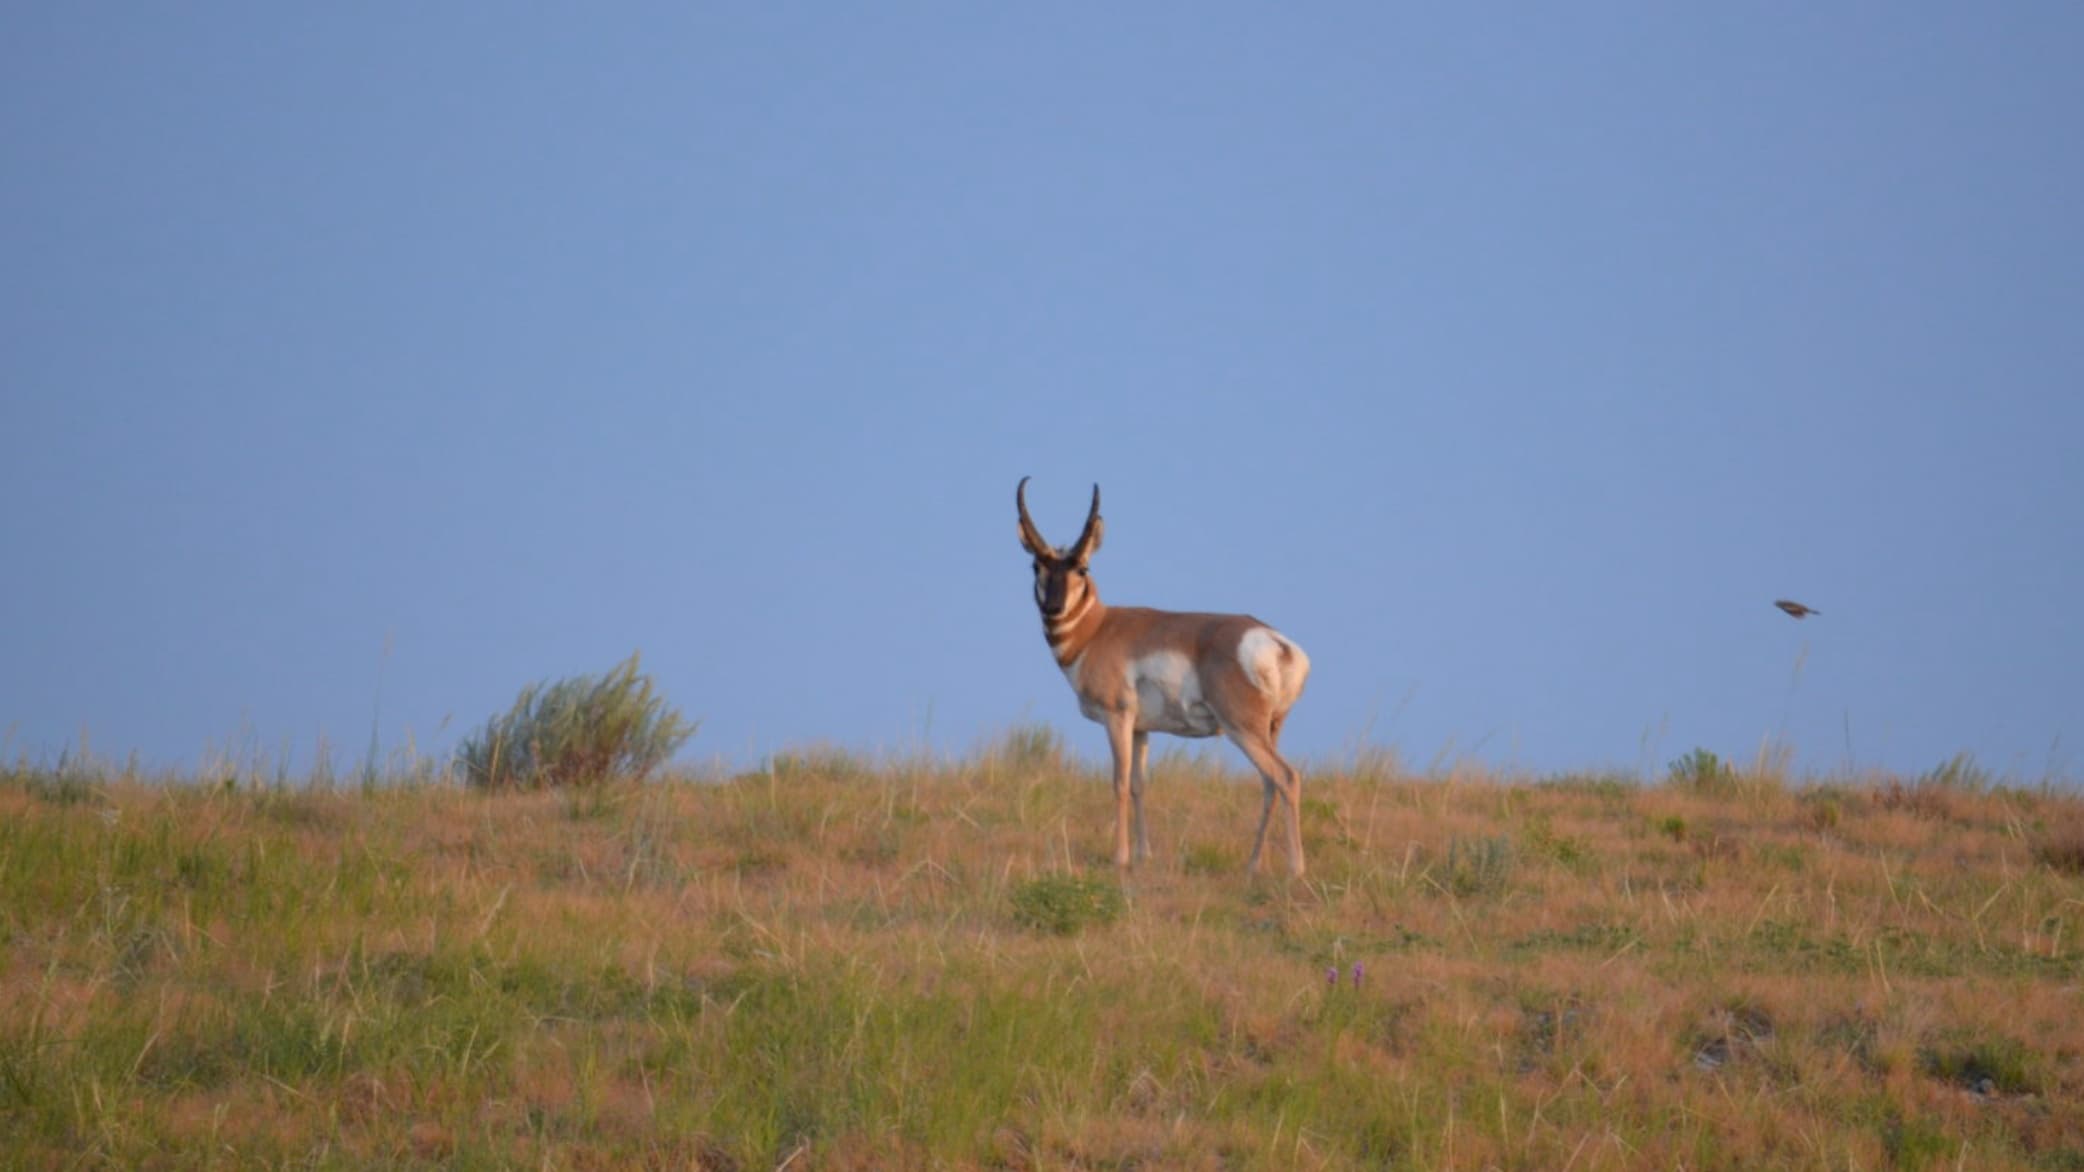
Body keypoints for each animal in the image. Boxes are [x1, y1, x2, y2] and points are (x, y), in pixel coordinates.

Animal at [1016, 478, 1313, 876]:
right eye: (1037, 565)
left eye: (1082, 568)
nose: (1053, 607)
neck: (1098, 629)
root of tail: (1276, 643)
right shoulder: (1141, 729)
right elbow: (1139, 785)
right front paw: (1144, 855)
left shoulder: (1117, 718)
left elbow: (1119, 782)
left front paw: (1120, 857)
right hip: (1268, 730)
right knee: (1269, 784)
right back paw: (1252, 866)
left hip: (1243, 729)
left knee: (1286, 777)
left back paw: (1295, 869)